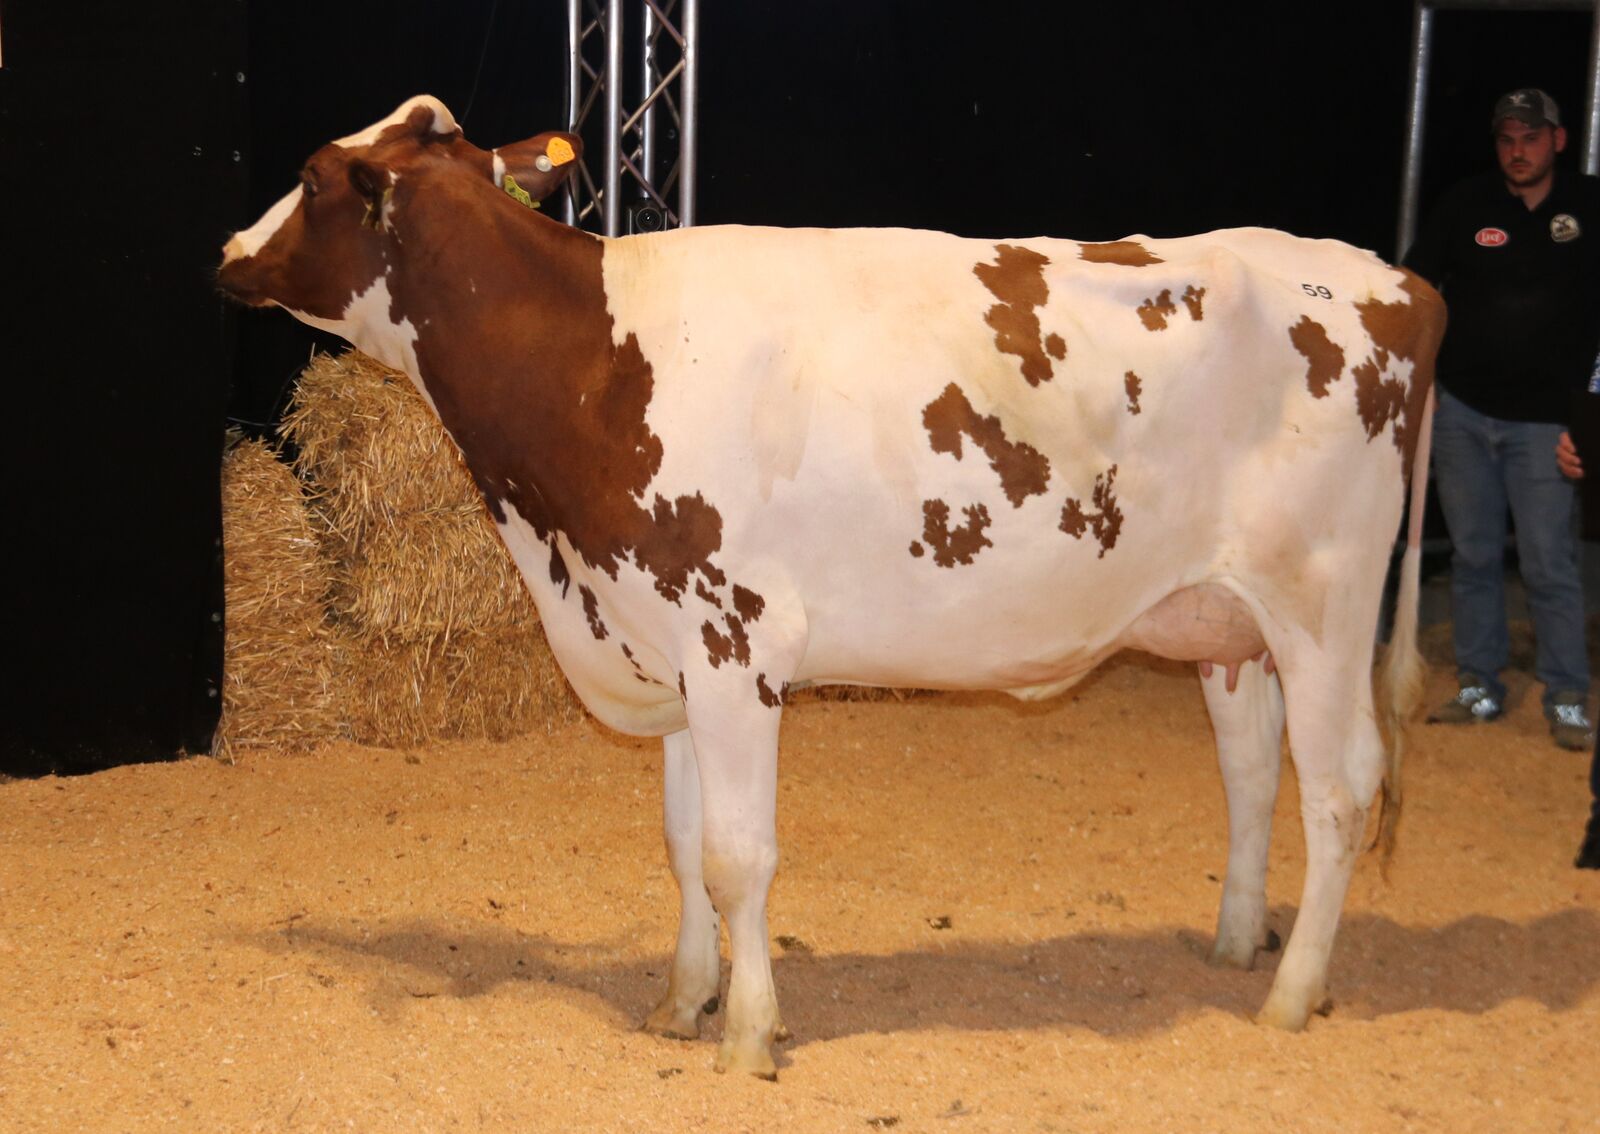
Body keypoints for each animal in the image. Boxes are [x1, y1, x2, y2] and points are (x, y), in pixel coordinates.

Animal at [218, 95, 1443, 1079]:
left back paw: (1290, 997)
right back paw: (1238, 944)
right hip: (1231, 619)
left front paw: (748, 1035)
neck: (595, 363)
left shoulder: (733, 645)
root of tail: (1392, 279)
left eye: (315, 178)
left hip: (1326, 603)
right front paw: (684, 1001)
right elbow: (683, 843)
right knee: (1253, 770)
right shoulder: (668, 642)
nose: (227, 249)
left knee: (1342, 788)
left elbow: (737, 856)